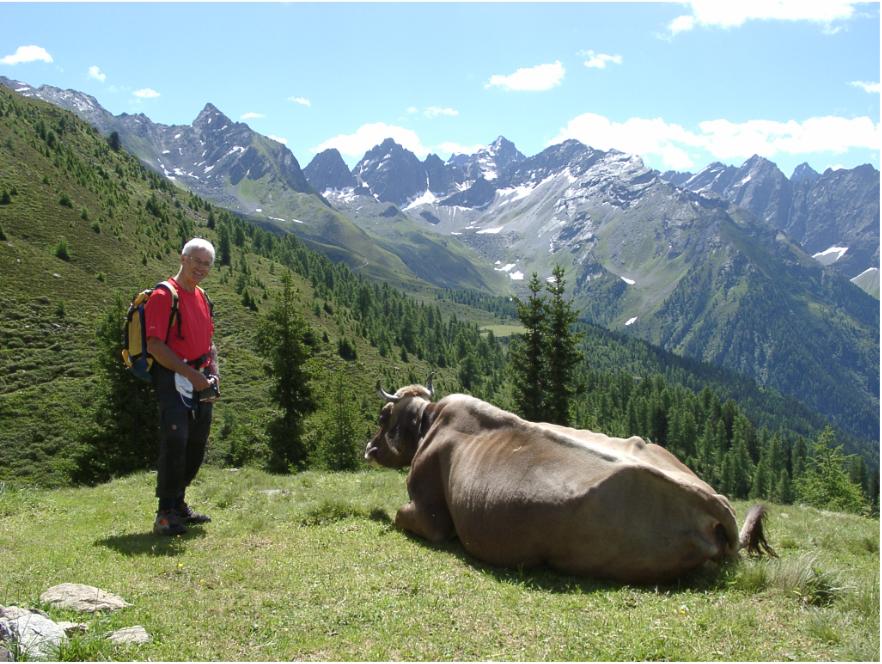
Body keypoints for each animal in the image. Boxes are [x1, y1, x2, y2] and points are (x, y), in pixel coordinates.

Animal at [362, 376, 768, 584]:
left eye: (383, 416)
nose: (369, 448)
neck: (430, 425)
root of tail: (709, 498)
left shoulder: (431, 517)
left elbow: (398, 515)